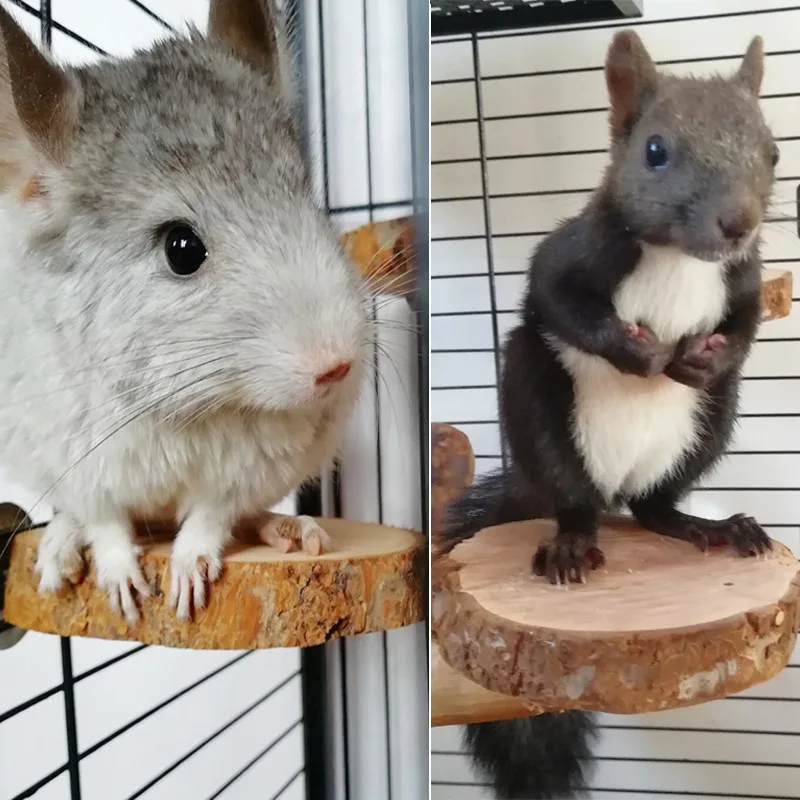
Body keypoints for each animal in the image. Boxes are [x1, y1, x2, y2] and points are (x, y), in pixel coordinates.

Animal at [439, 30, 777, 799]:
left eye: (772, 153)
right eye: (654, 150)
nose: (738, 222)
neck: (681, 259)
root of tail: (612, 487)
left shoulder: (745, 279)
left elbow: (745, 325)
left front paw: (702, 357)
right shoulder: (574, 252)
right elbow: (558, 299)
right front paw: (637, 353)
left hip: (707, 429)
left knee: (654, 507)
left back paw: (709, 527)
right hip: (538, 409)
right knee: (574, 502)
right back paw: (569, 541)